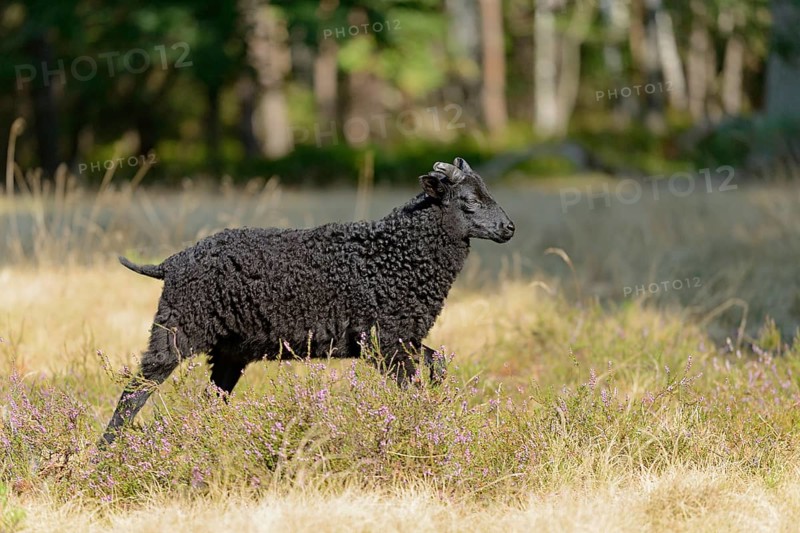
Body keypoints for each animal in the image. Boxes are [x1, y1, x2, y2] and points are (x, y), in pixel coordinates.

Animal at [101, 157, 515, 445]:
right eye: (469, 200)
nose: (509, 228)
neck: (394, 253)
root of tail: (171, 263)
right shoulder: (383, 342)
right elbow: (412, 387)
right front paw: (420, 425)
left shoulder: (403, 339)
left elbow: (437, 363)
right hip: (174, 334)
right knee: (134, 391)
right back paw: (104, 453)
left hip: (228, 352)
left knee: (209, 399)